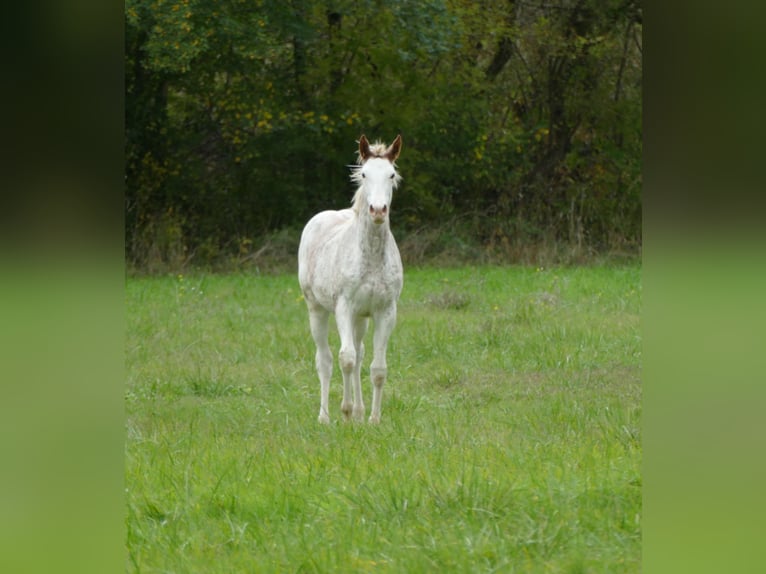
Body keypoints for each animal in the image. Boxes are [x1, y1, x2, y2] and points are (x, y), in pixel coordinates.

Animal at [298, 134, 404, 424]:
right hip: (317, 309)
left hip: (361, 318)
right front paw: (344, 412)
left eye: (391, 175)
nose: (377, 210)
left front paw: (373, 419)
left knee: (359, 355)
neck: (371, 257)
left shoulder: (385, 311)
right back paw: (325, 416)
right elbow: (345, 358)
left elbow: (377, 368)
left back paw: (359, 411)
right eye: (364, 174)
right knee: (325, 359)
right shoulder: (343, 307)